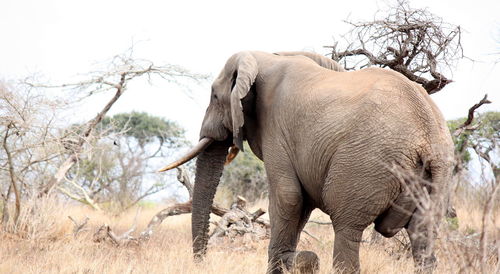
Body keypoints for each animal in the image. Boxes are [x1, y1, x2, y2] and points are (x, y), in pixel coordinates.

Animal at [159, 50, 454, 272]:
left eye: (214, 96)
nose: (201, 262)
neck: (266, 57)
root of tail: (429, 135)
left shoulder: (277, 129)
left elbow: (288, 198)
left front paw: (289, 261)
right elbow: (301, 203)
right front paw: (300, 260)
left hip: (368, 163)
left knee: (347, 228)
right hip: (434, 180)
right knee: (423, 237)